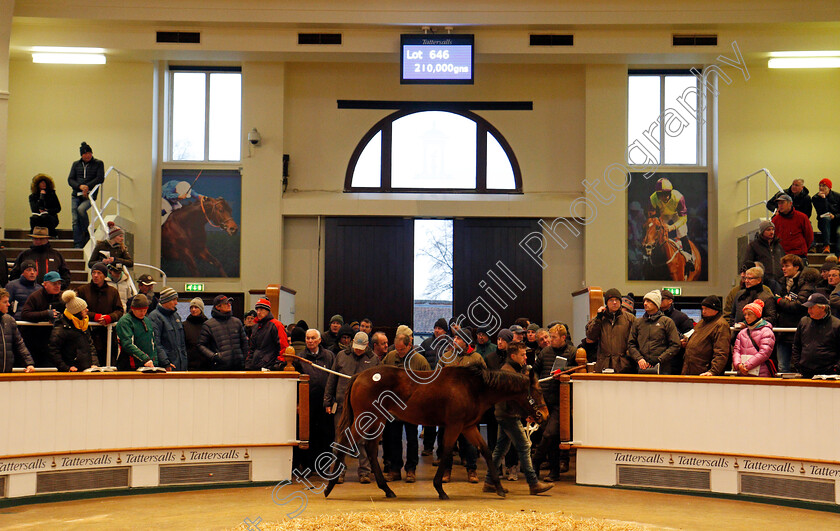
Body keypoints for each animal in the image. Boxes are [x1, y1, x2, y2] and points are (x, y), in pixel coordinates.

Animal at [324, 364, 552, 500]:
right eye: (538, 392)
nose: (544, 415)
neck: (473, 387)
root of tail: (359, 375)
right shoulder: (454, 426)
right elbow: (447, 452)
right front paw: (440, 489)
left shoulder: (468, 427)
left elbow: (486, 451)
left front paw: (499, 487)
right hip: (366, 420)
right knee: (346, 442)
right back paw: (329, 486)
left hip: (377, 421)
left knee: (370, 450)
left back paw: (387, 490)